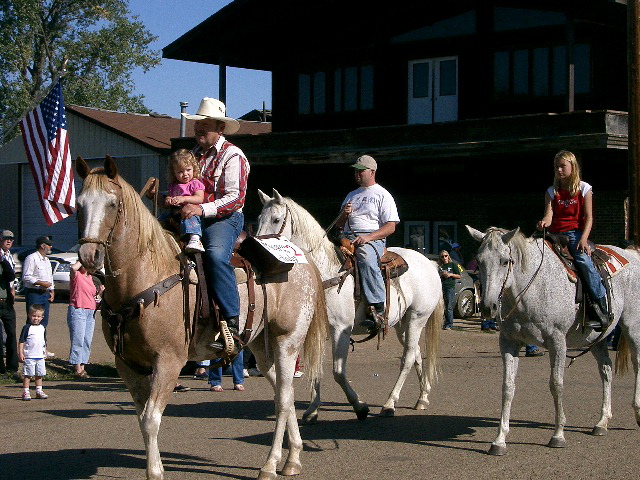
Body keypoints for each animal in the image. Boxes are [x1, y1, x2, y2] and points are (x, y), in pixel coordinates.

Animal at [75, 156, 330, 478]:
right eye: (79, 204)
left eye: (112, 203)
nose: (89, 257)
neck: (145, 275)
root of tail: (303, 258)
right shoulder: (129, 366)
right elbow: (141, 419)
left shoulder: (168, 361)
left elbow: (150, 420)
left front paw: (156, 472)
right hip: (262, 347)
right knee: (283, 393)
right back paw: (293, 458)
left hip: (288, 341)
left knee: (283, 401)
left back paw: (270, 464)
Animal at [258, 189, 442, 422]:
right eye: (258, 219)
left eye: (276, 219)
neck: (326, 272)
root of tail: (430, 263)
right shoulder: (318, 331)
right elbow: (316, 368)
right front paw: (312, 410)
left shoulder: (341, 329)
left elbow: (338, 372)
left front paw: (360, 406)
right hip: (402, 323)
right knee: (416, 353)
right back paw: (422, 398)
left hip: (418, 318)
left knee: (408, 358)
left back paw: (390, 404)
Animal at [464, 227, 640, 456]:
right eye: (479, 260)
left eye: (505, 261)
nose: (488, 307)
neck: (531, 289)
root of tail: (633, 255)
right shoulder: (509, 343)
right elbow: (508, 387)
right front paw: (500, 439)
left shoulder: (557, 341)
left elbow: (556, 384)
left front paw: (558, 435)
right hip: (596, 338)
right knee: (606, 371)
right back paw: (602, 422)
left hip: (632, 326)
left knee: (637, 364)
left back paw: (637, 412)